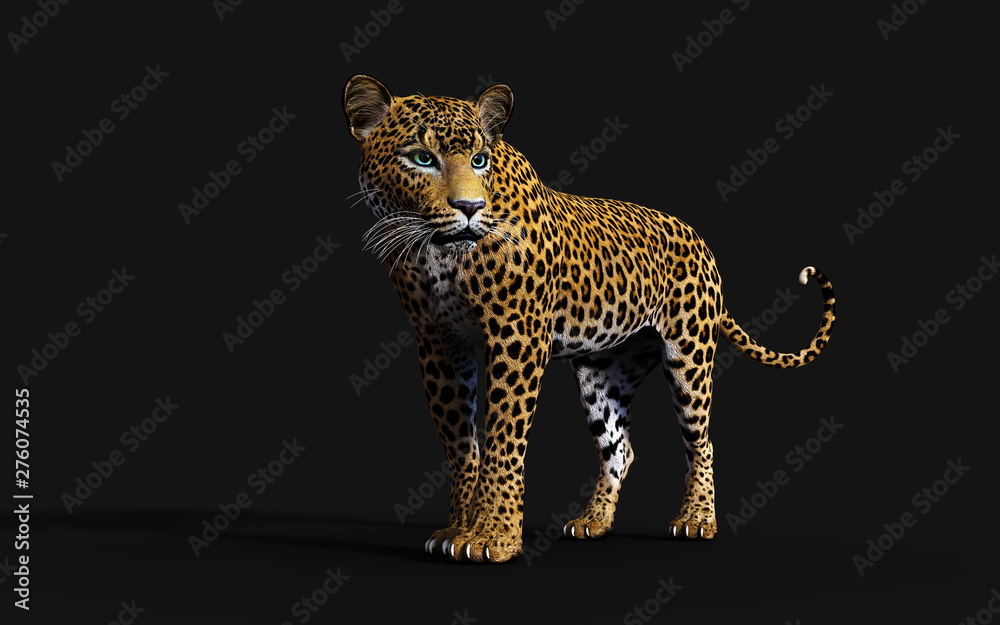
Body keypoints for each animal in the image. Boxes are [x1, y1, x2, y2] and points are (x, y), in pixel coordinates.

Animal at [343, 75, 836, 564]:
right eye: (422, 158)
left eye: (480, 160)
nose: (469, 208)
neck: (440, 258)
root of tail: (701, 243)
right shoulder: (439, 341)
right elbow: (460, 443)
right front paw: (459, 528)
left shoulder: (517, 336)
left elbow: (504, 436)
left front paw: (493, 538)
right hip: (603, 373)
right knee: (620, 449)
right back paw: (594, 521)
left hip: (689, 354)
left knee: (701, 440)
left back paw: (697, 519)